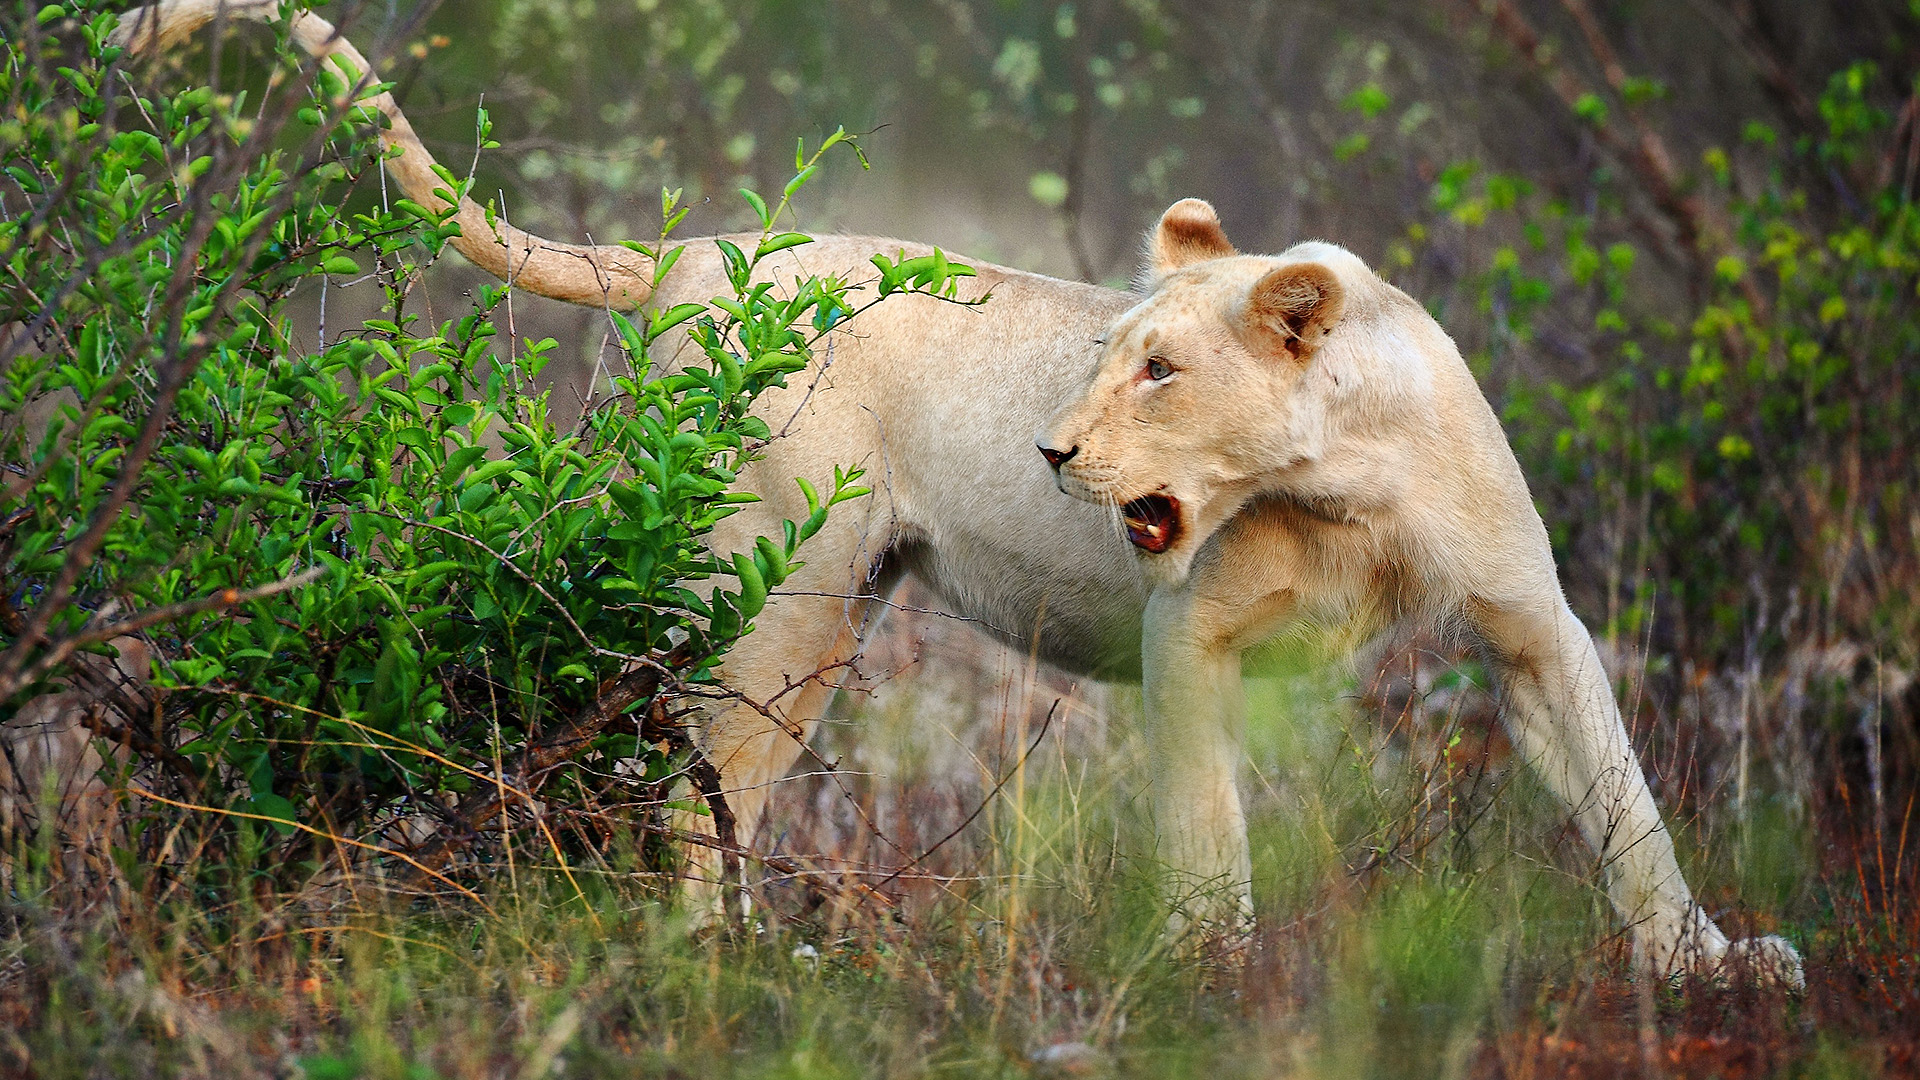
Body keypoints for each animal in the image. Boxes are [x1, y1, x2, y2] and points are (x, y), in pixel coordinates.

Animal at [115, 0, 1801, 985]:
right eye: (1111, 354)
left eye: (1159, 369)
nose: (1054, 454)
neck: (1343, 484)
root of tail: (684, 254)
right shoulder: (1191, 637)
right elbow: (1208, 821)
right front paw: (1210, 966)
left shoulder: (1529, 620)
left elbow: (1623, 795)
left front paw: (1709, 961)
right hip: (782, 596)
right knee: (690, 784)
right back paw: (729, 969)